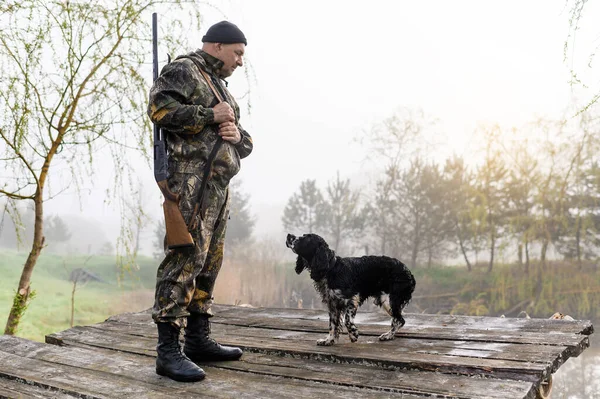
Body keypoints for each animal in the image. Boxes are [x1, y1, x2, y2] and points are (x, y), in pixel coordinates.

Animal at [284, 234, 414, 346]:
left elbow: (347, 320)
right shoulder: (332, 304)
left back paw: (388, 335)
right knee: (399, 320)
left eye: (305, 238)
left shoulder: (351, 298)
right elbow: (332, 324)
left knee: (399, 320)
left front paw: (353, 334)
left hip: (389, 300)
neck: (331, 269)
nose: (289, 235)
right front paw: (328, 340)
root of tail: (409, 273)